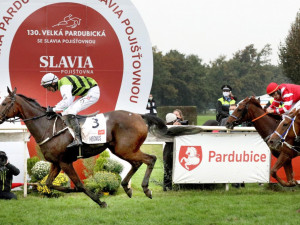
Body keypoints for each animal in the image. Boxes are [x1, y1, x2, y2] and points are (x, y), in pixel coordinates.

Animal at [0, 88, 203, 207]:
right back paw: (127, 188)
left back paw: (145, 189)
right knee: (137, 163)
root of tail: (139, 116)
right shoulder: (56, 163)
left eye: (4, 103)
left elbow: (79, 185)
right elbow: (48, 184)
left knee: (150, 159)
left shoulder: (65, 162)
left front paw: (99, 200)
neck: (48, 127)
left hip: (125, 149)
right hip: (121, 149)